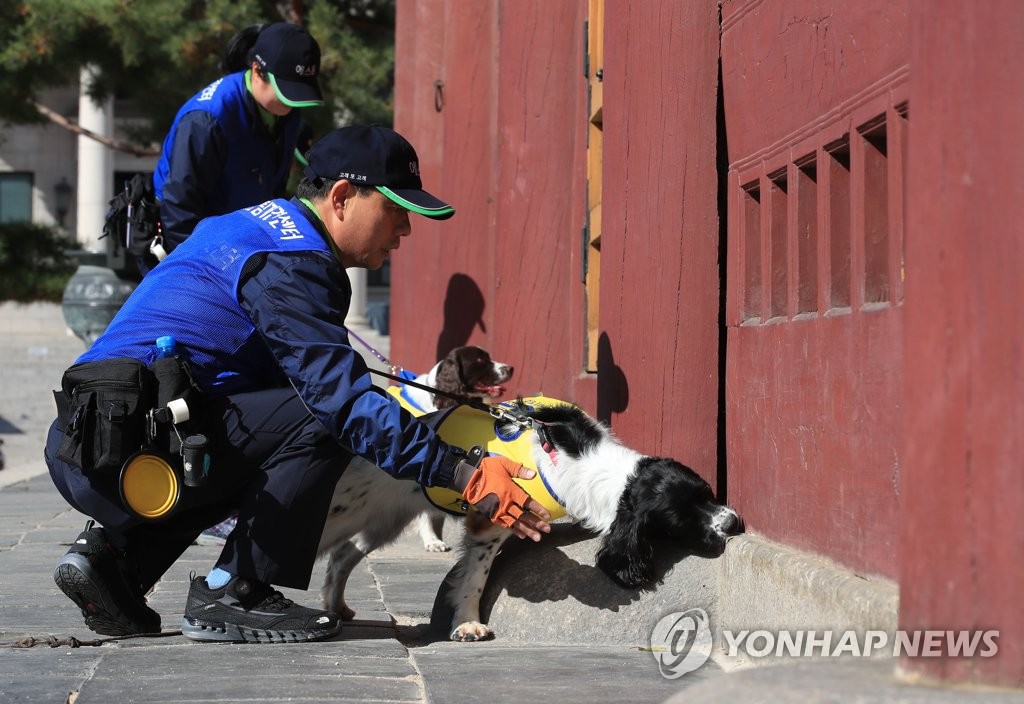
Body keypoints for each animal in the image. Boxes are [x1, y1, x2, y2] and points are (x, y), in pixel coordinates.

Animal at [315, 399, 741, 642]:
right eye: (680, 519)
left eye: (708, 491)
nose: (734, 523)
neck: (583, 461)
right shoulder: (491, 523)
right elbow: (474, 579)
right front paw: (467, 624)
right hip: (341, 513)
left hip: (381, 520)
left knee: (342, 557)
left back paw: (337, 608)